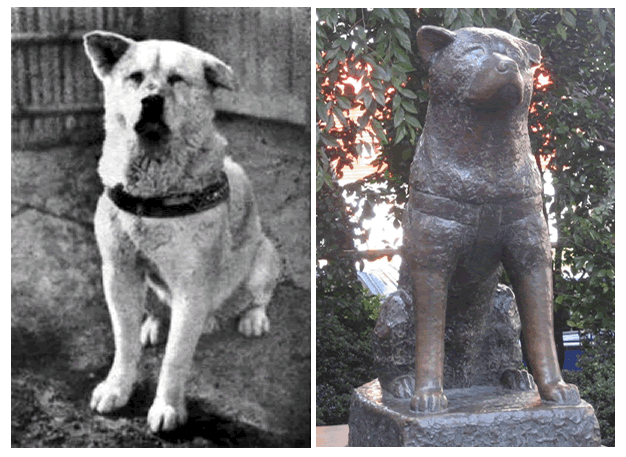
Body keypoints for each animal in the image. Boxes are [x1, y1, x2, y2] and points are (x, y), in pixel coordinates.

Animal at [83, 31, 278, 432]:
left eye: (176, 79)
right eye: (136, 77)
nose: (151, 101)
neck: (153, 193)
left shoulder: (193, 284)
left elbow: (175, 358)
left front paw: (167, 407)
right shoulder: (118, 273)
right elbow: (123, 342)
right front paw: (117, 387)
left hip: (264, 257)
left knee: (257, 297)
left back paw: (250, 318)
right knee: (158, 310)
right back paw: (155, 323)